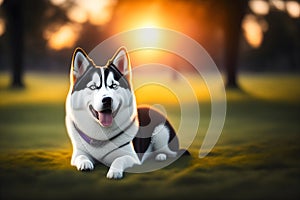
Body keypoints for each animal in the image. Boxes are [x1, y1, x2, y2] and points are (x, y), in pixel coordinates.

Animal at [65, 47, 182, 180]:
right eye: (93, 87)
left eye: (114, 86)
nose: (107, 100)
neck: (101, 134)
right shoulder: (78, 153)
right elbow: (81, 157)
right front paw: (85, 163)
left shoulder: (132, 157)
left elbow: (119, 159)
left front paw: (114, 171)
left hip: (161, 132)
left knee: (173, 153)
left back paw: (161, 156)